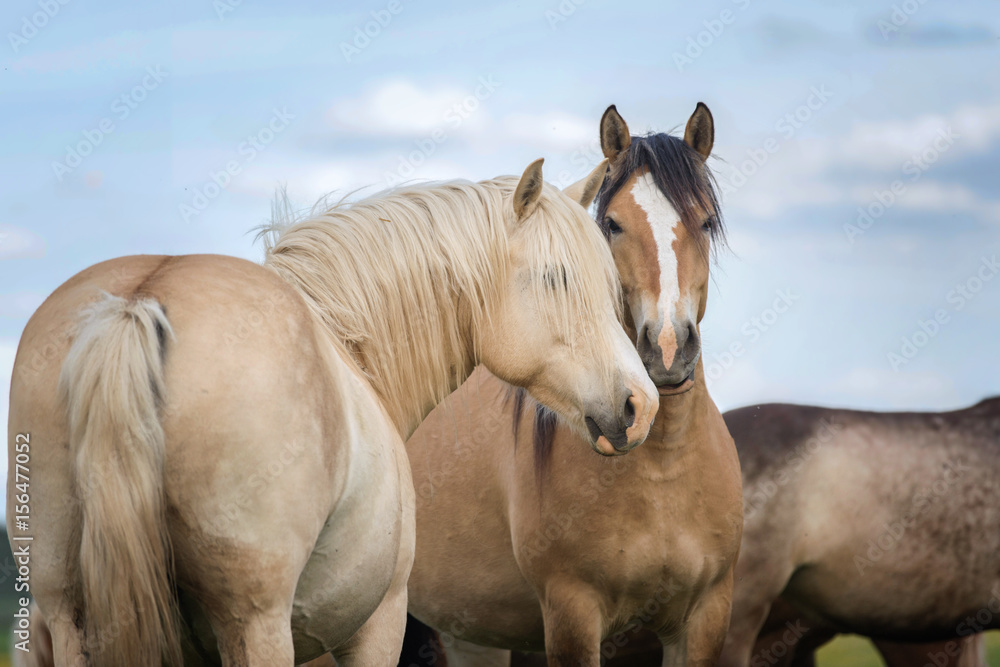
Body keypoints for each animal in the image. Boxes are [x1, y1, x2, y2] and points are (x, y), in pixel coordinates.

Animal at [5, 159, 659, 666]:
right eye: (556, 277)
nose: (640, 404)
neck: (351, 352)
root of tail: (138, 301)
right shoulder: (378, 623)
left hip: (67, 619)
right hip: (256, 625)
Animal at [402, 103, 743, 667]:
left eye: (707, 221)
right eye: (612, 224)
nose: (668, 347)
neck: (663, 470)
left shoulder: (705, 616)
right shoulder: (572, 612)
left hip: (469, 631)